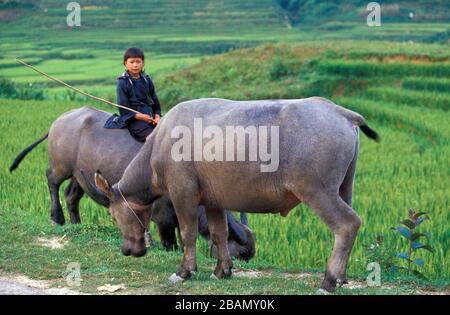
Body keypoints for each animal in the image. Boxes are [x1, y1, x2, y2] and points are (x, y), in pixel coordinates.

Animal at [9, 108, 253, 262]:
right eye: (242, 255)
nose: (244, 262)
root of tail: (61, 119)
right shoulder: (164, 219)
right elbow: (171, 244)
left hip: (81, 175)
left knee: (71, 195)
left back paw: (76, 224)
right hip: (61, 166)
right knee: (52, 181)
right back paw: (57, 217)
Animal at [91, 97, 380, 292]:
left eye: (114, 216)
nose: (127, 250)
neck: (159, 145)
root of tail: (340, 112)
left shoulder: (183, 194)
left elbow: (188, 233)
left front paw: (184, 271)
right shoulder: (213, 201)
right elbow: (220, 234)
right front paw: (222, 270)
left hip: (317, 191)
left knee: (347, 224)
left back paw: (329, 281)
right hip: (344, 187)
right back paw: (342, 277)